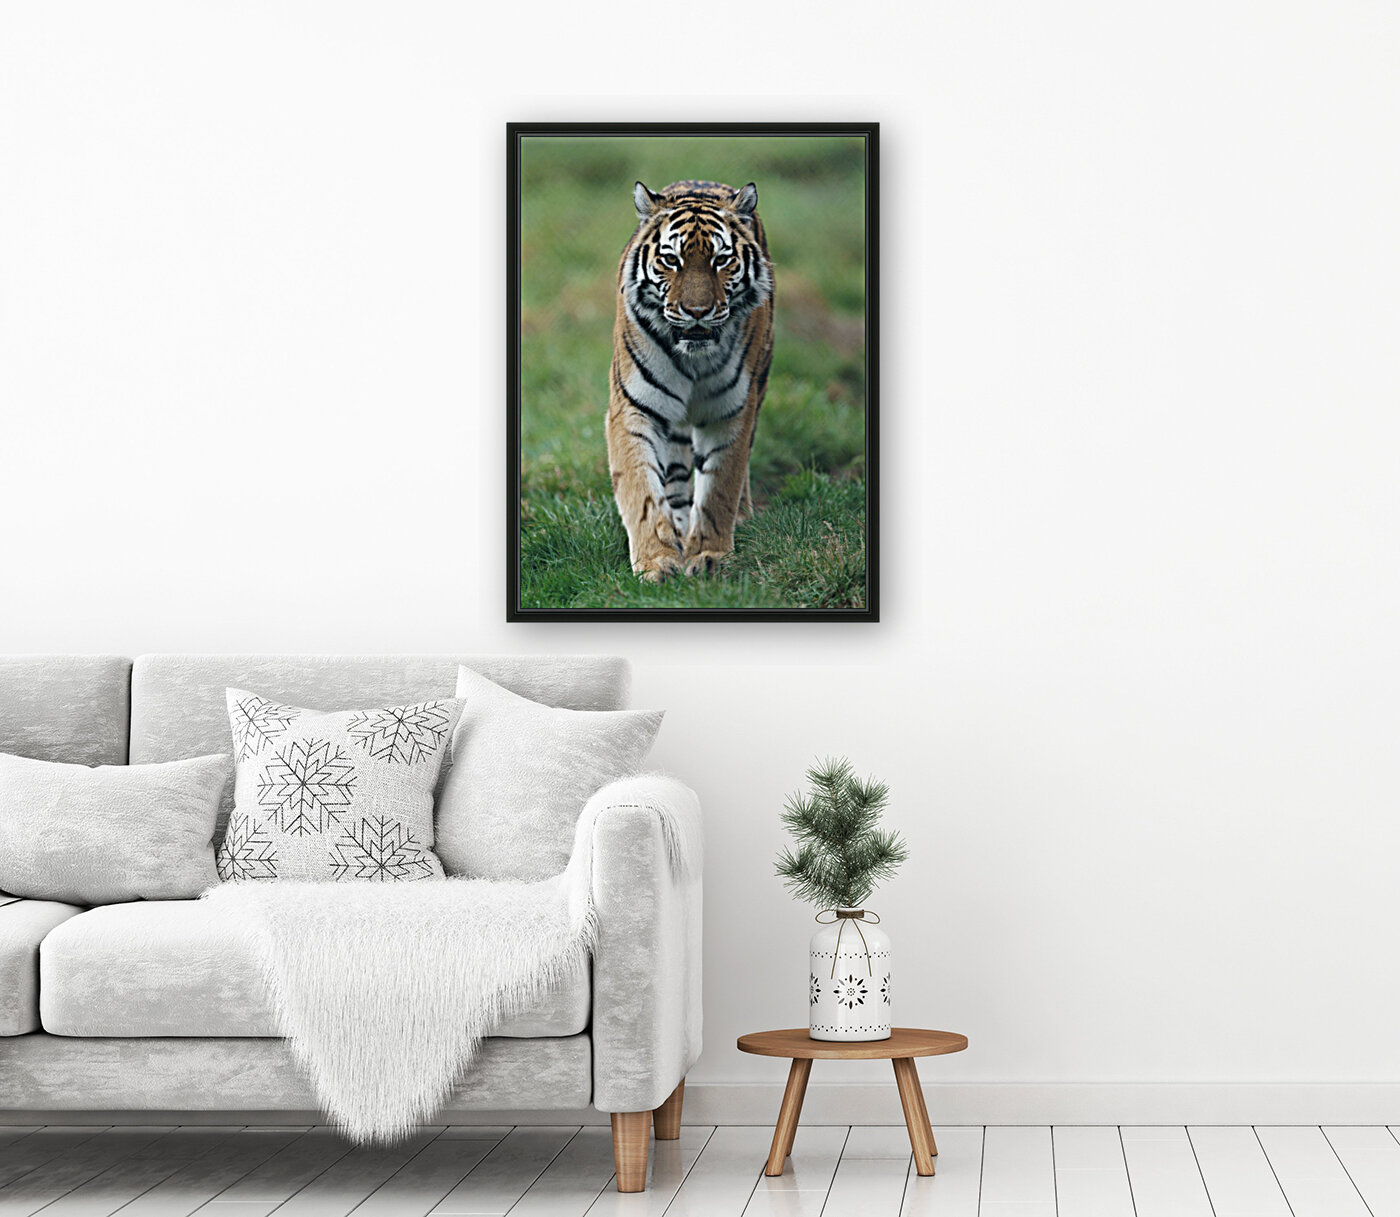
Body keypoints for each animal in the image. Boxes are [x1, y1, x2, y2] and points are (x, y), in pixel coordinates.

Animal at [606, 178, 775, 580]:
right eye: (672, 260)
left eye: (721, 260)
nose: (697, 312)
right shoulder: (634, 408)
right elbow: (641, 489)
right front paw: (657, 561)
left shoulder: (731, 411)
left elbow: (721, 486)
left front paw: (710, 556)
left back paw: (738, 518)